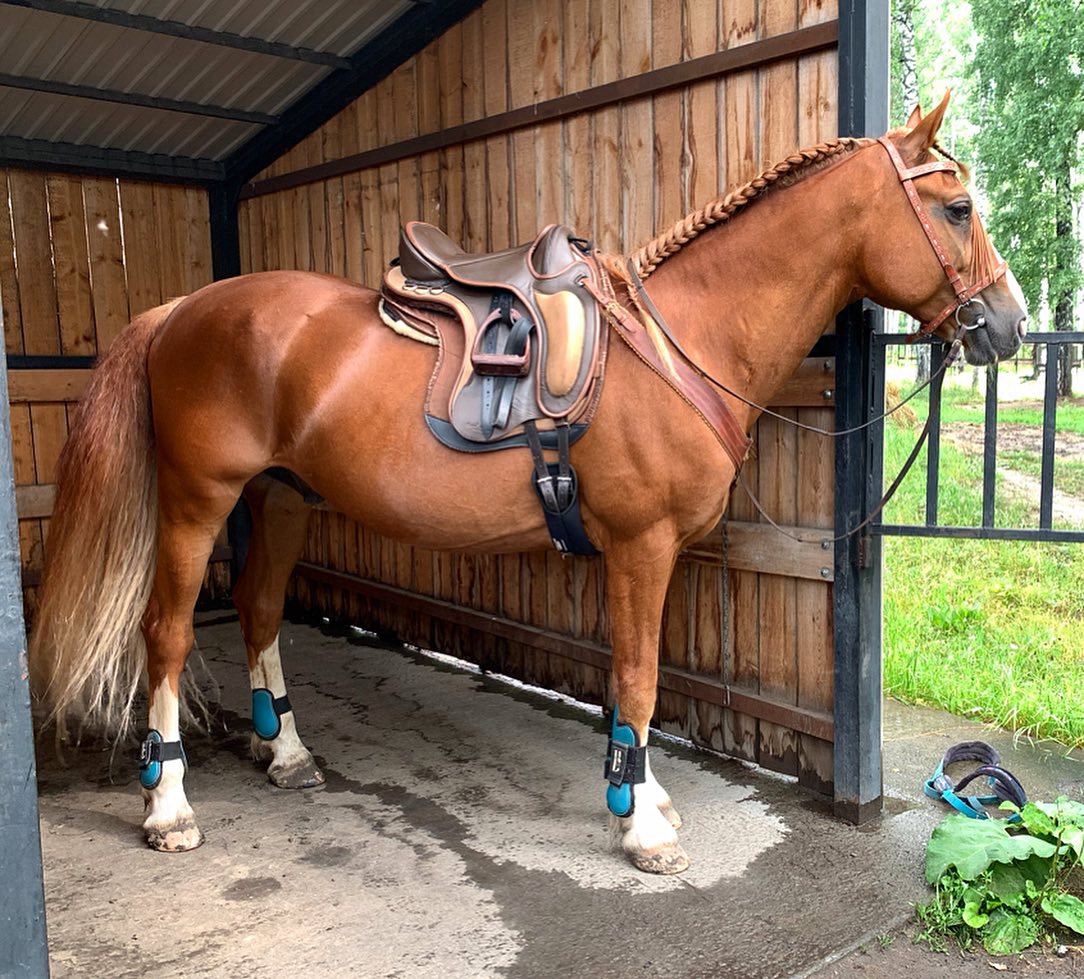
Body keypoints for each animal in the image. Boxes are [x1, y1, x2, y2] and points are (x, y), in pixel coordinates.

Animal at [29, 94, 1026, 875]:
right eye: (957, 207)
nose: (1008, 324)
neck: (680, 339)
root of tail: (178, 311)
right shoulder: (640, 546)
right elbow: (638, 679)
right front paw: (642, 823)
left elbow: (630, 681)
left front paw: (639, 796)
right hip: (198, 501)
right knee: (165, 632)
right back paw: (168, 804)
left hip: (279, 498)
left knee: (261, 610)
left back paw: (287, 753)